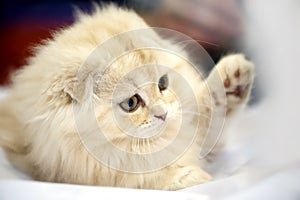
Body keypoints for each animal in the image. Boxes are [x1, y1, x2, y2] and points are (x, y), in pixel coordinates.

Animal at [0, 4, 254, 189]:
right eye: (131, 103)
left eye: (163, 84)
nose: (163, 114)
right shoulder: (82, 171)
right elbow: (144, 177)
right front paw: (192, 176)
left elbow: (212, 109)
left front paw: (235, 77)